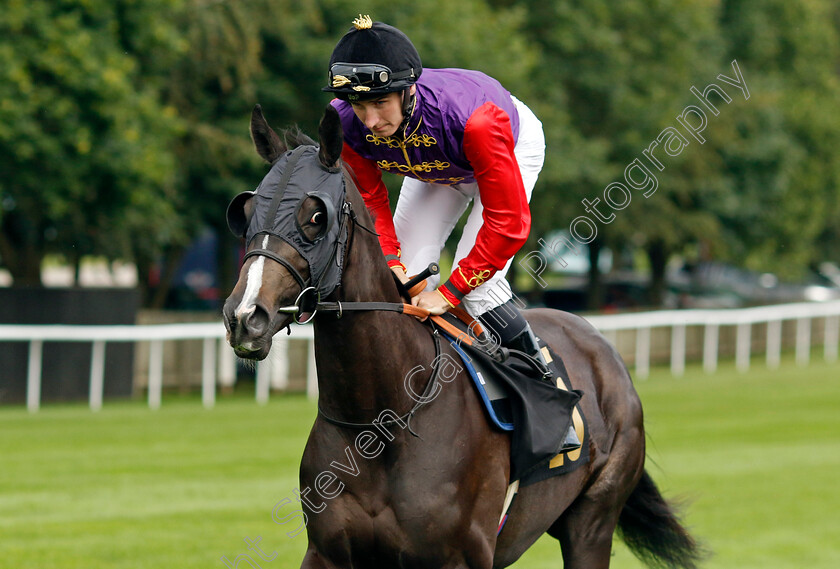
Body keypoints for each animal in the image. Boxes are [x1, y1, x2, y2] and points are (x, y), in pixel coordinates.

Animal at [225, 105, 704, 568]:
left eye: (315, 216)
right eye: (245, 212)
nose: (245, 315)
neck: (381, 422)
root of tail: (600, 346)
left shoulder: (461, 556)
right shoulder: (326, 553)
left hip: (592, 522)